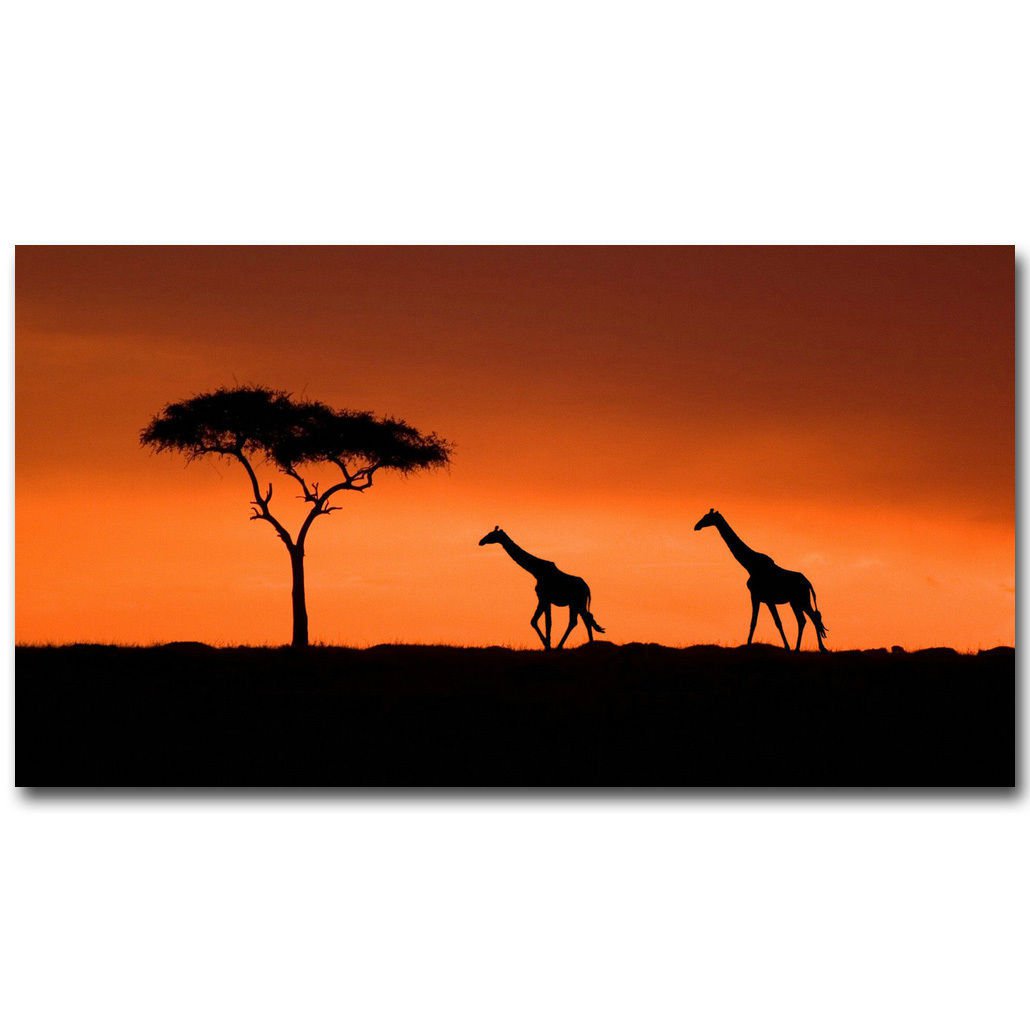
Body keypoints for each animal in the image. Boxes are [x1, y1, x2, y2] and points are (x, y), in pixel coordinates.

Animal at [694, 508, 829, 652]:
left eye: (707, 517)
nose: (696, 526)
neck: (750, 565)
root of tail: (808, 583)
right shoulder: (758, 597)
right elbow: (755, 622)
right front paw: (749, 644)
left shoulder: (763, 598)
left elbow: (774, 622)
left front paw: (785, 646)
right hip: (795, 602)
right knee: (804, 620)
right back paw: (799, 649)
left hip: (802, 600)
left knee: (813, 618)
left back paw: (819, 648)